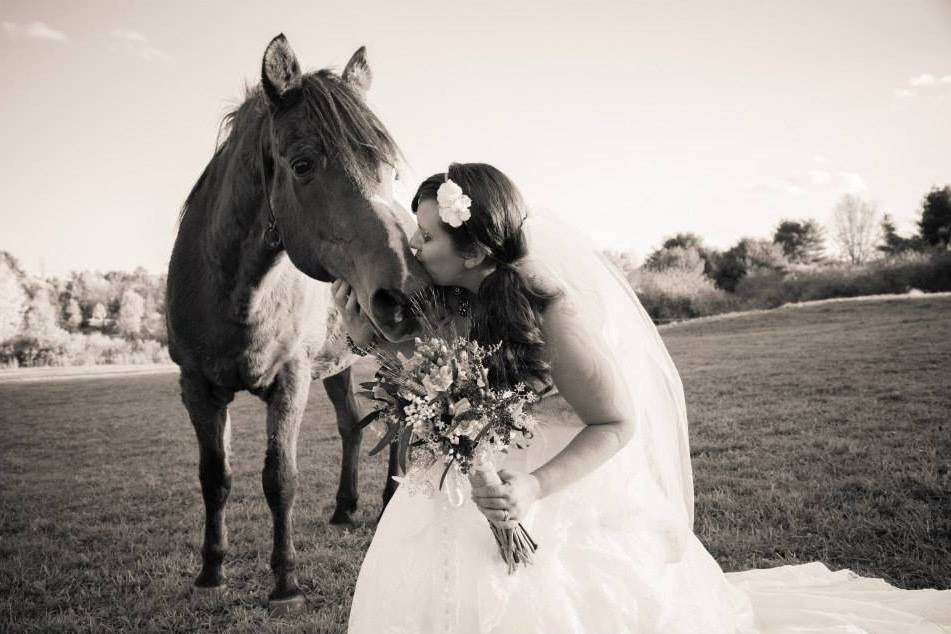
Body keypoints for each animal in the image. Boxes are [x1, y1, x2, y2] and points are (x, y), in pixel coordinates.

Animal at [166, 34, 428, 612]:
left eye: (390, 171)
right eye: (303, 165)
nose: (407, 293)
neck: (237, 292)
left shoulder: (290, 380)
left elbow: (279, 478)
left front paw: (285, 582)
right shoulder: (196, 387)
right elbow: (214, 477)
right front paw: (210, 571)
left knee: (402, 419)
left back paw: (391, 494)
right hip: (337, 366)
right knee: (353, 425)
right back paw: (345, 507)